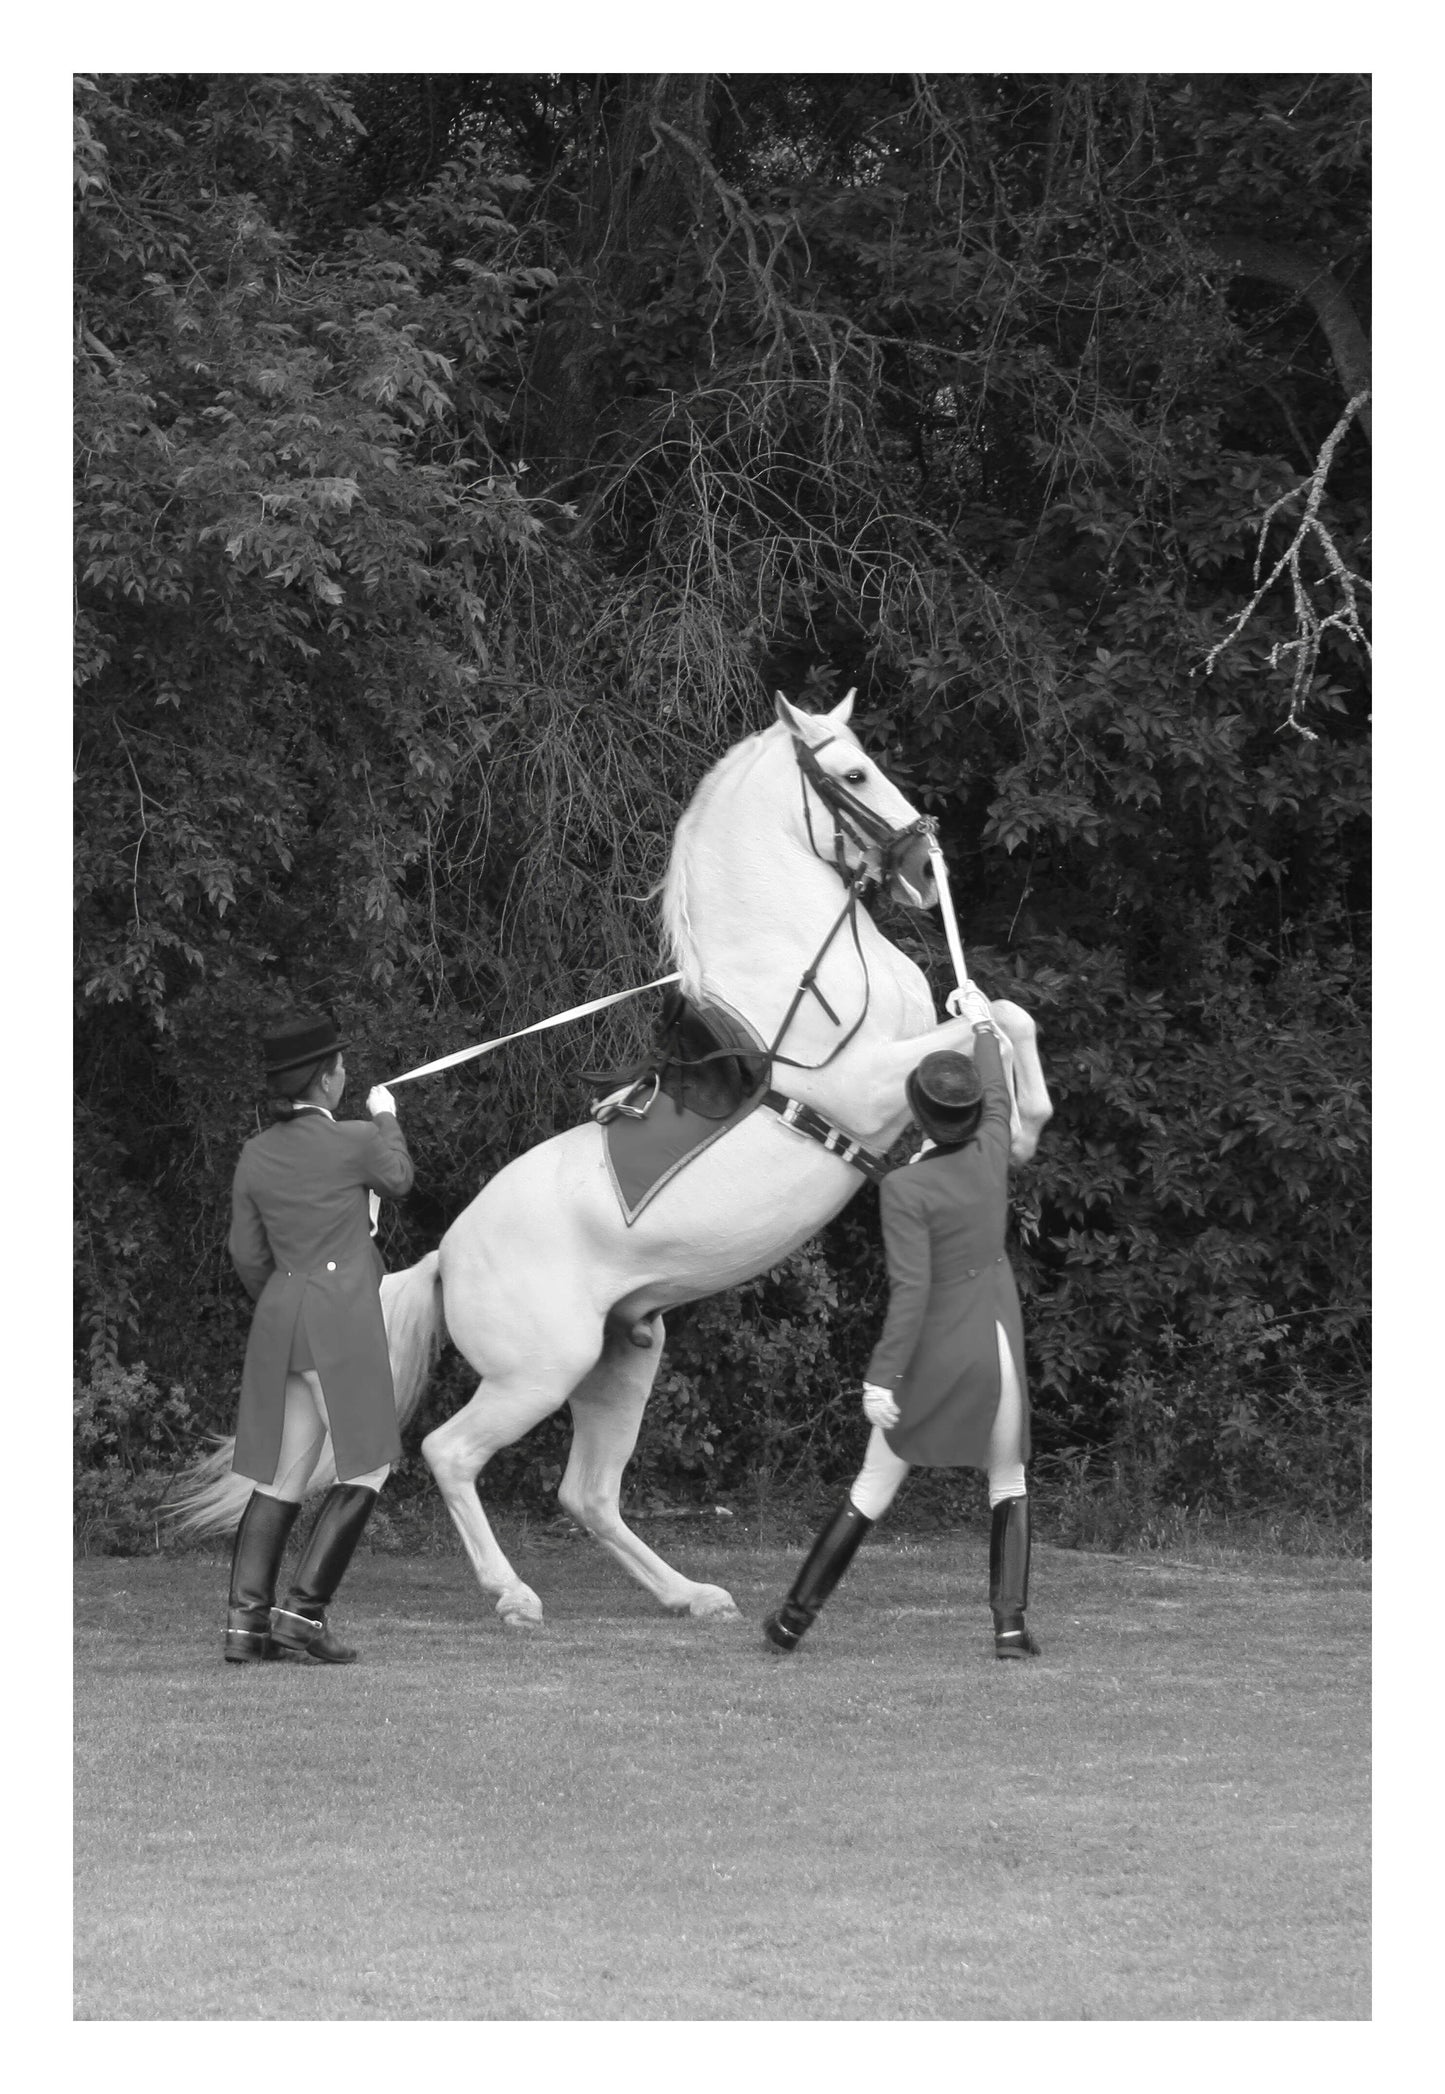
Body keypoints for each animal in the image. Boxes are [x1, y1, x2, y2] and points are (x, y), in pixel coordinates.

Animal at [175, 693, 1052, 1625]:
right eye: (851, 774)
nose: (925, 864)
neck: (796, 974)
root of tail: (446, 1256)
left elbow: (1002, 1013)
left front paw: (1023, 1126)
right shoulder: (864, 1085)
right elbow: (989, 1020)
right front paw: (1027, 1127)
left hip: (622, 1360)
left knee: (587, 1492)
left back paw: (689, 1595)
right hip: (538, 1374)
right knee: (451, 1452)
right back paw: (514, 1595)